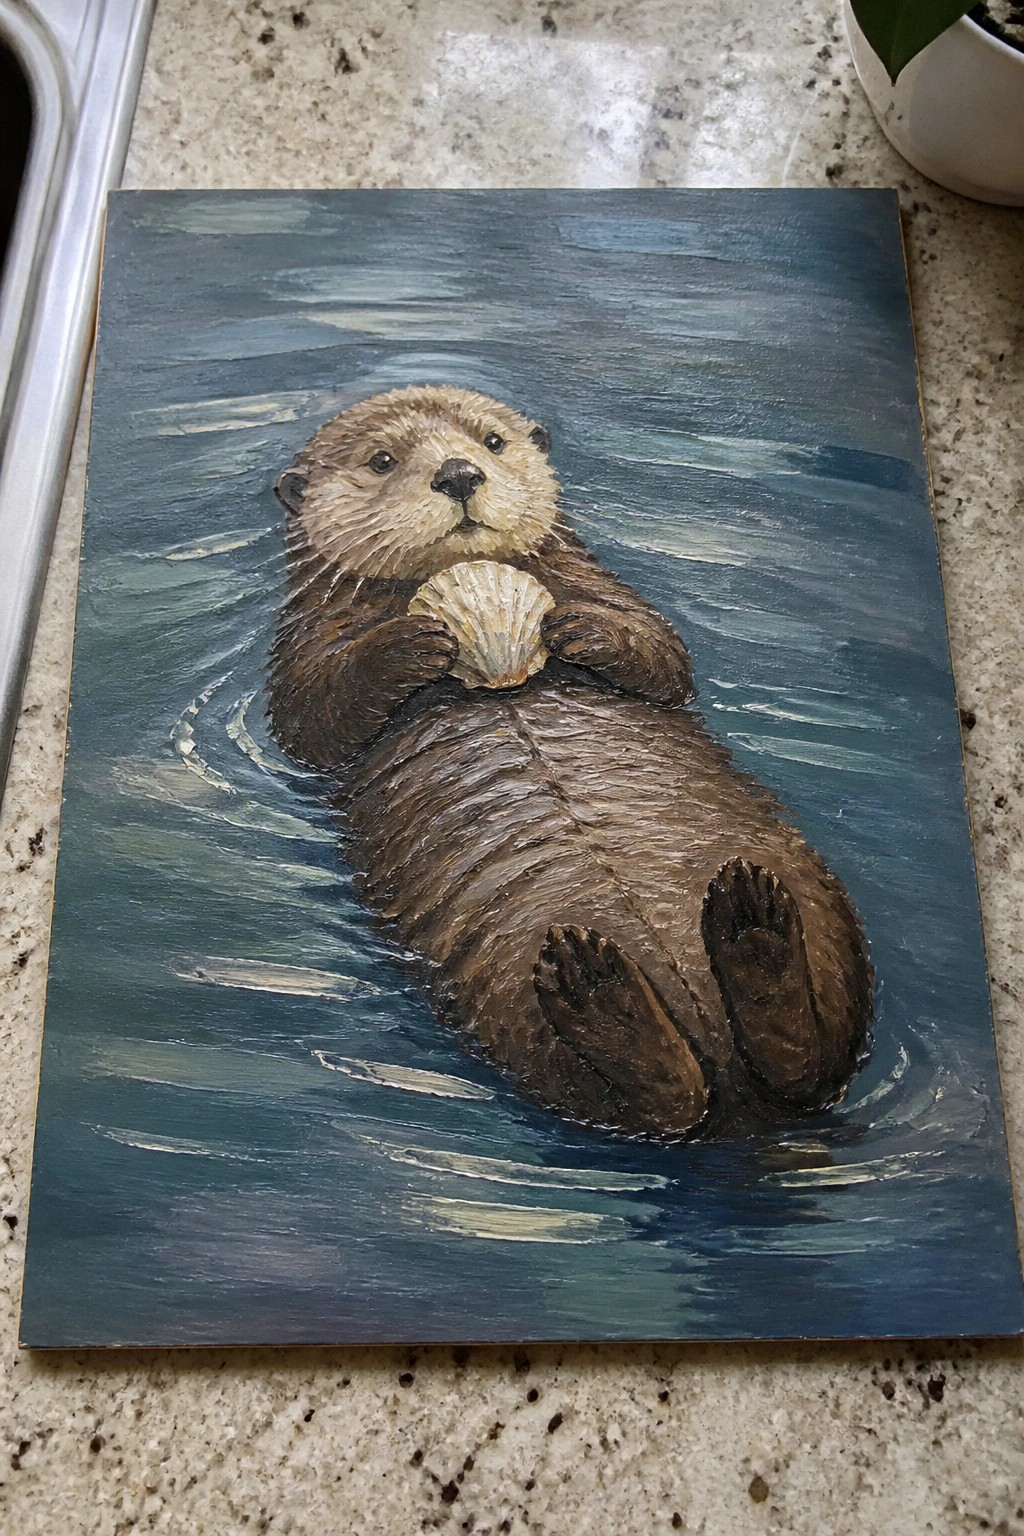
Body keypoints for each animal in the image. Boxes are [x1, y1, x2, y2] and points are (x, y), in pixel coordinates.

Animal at [268, 385, 872, 1140]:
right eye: (382, 460)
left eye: (492, 441)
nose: (459, 474)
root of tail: (741, 1104)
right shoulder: (303, 643)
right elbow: (311, 718)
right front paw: (415, 636)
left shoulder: (602, 583)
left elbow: (664, 654)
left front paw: (573, 626)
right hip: (506, 1003)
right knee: (660, 1103)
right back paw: (605, 983)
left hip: (831, 923)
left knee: (806, 1060)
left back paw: (746, 922)